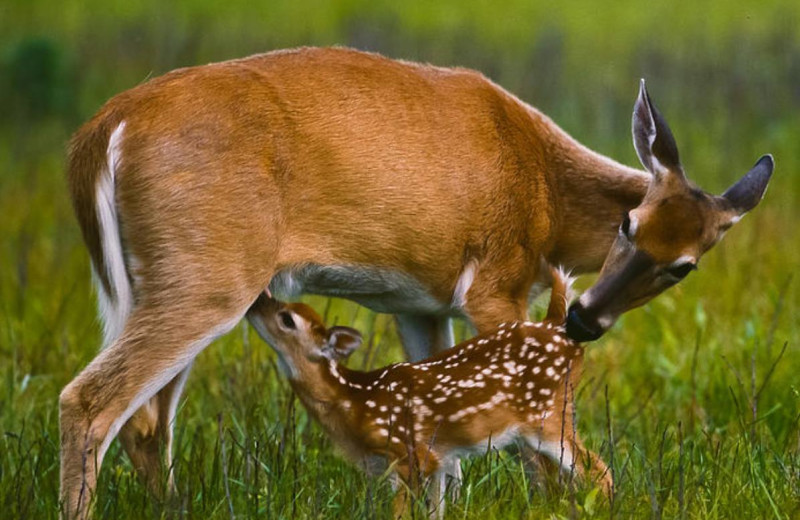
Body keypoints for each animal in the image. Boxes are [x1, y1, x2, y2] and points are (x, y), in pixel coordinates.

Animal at [247, 266, 604, 516]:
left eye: (287, 319)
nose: (258, 299)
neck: (353, 401)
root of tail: (557, 326)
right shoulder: (431, 458)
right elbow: (436, 509)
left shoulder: (409, 453)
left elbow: (403, 513)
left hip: (548, 418)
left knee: (598, 470)